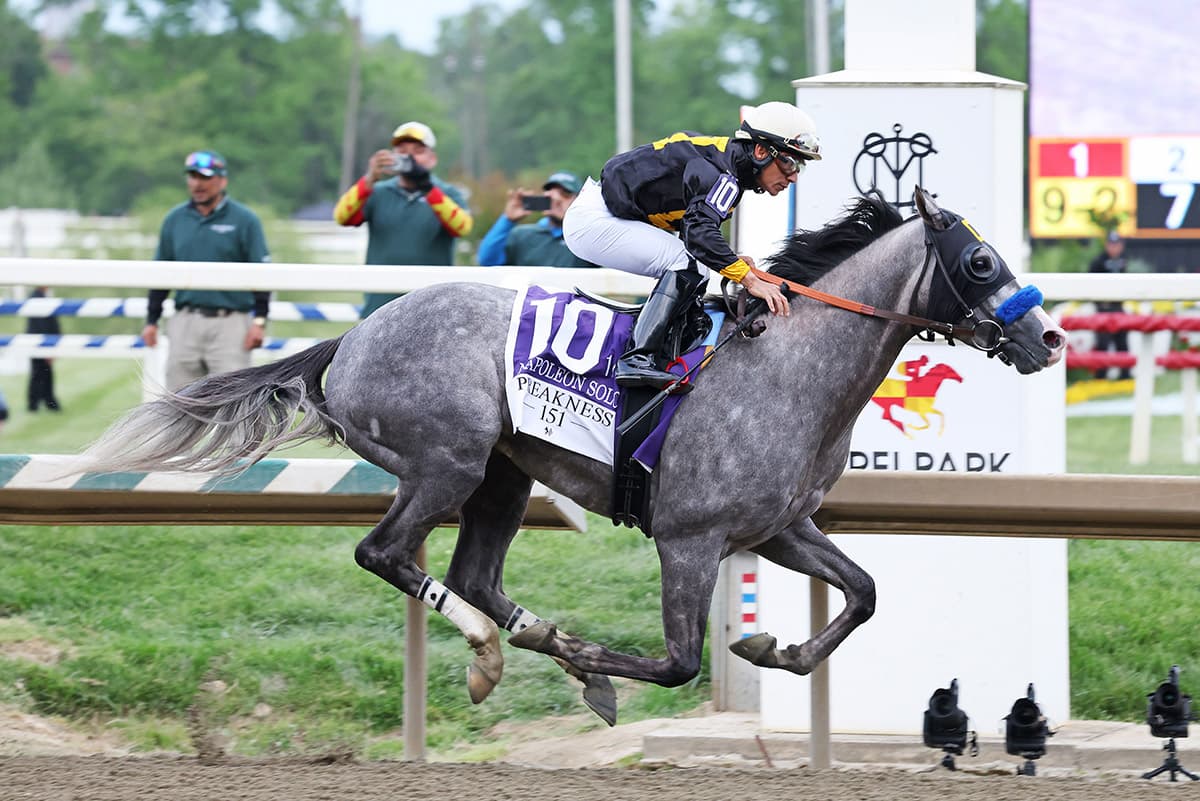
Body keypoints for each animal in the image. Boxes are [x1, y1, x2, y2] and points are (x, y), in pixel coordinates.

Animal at [80, 189, 1066, 726]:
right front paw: (601, 659)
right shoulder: (689, 539)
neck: (787, 367)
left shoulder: (778, 527)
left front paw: (773, 644)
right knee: (386, 553)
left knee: (471, 574)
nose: (1050, 338)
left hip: (504, 476)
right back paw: (495, 650)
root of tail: (349, 342)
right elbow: (678, 662)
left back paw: (528, 637)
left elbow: (863, 592)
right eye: (981, 261)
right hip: (447, 462)